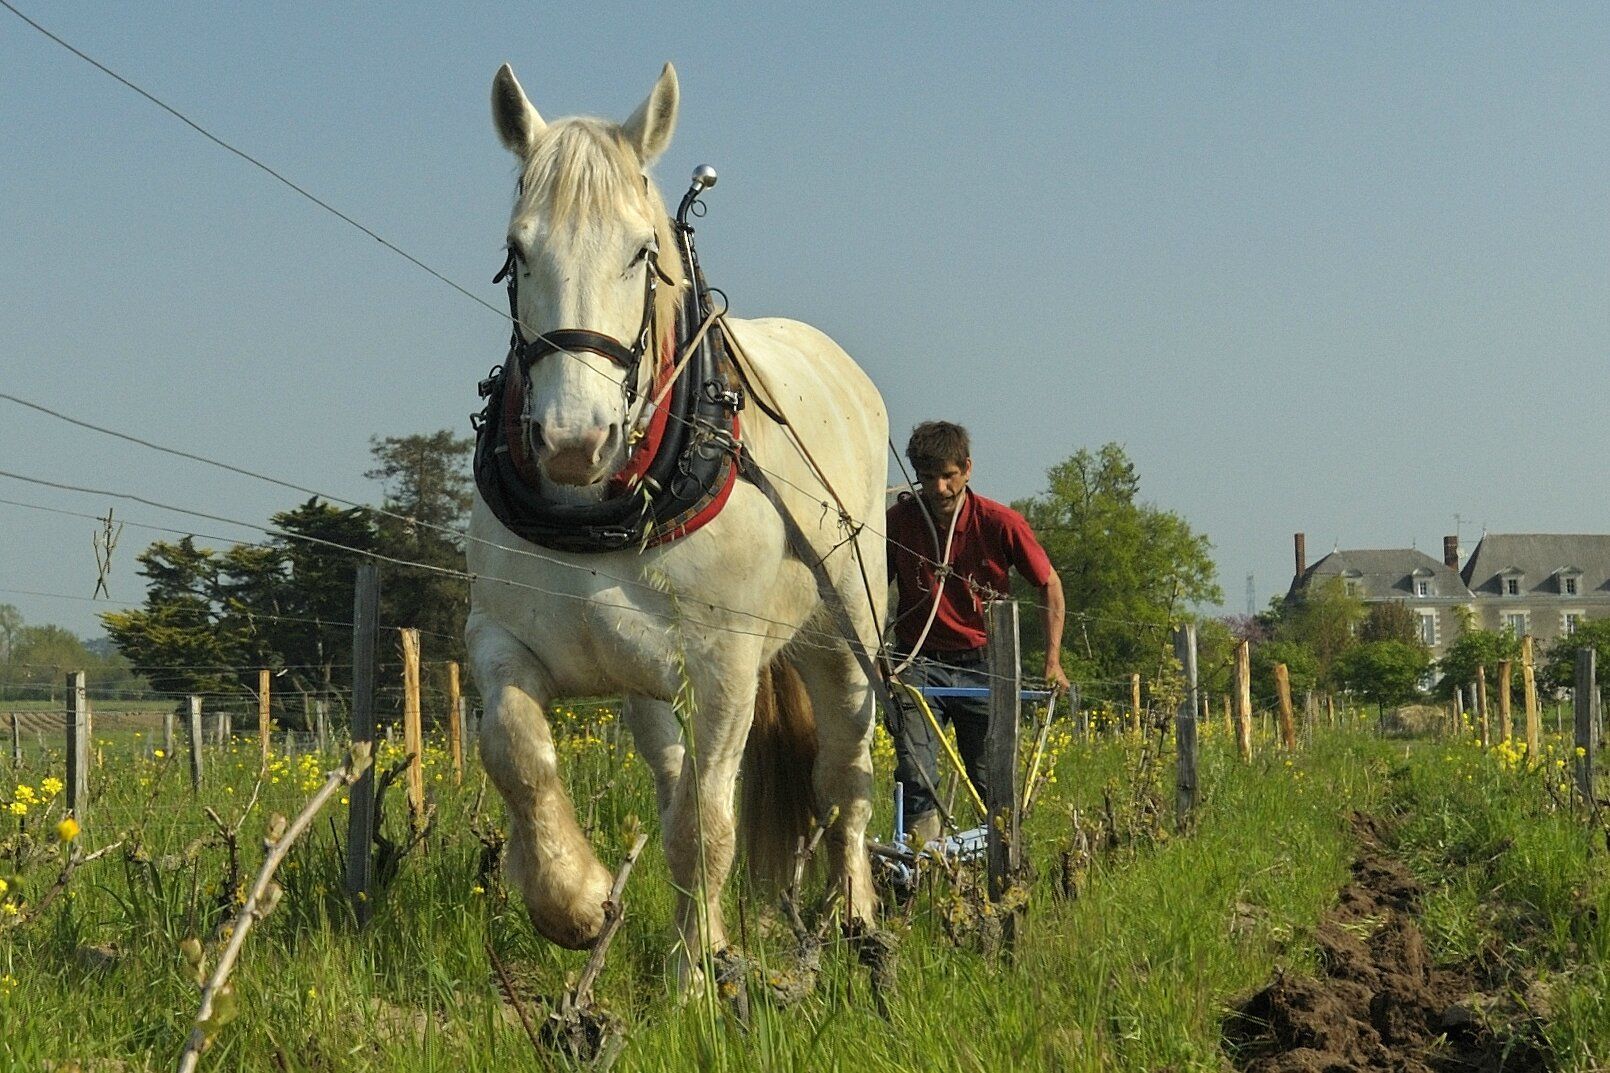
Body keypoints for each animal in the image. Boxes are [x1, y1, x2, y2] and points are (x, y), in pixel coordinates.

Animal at [466, 58, 895, 973]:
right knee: (674, 777)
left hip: (842, 645)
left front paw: (696, 973)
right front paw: (574, 900)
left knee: (844, 784)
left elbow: (706, 826)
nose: (572, 441)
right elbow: (516, 753)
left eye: (643, 252)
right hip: (648, 685)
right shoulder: (503, 637)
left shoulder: (724, 668)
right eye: (518, 251)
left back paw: (855, 919)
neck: (602, 509)